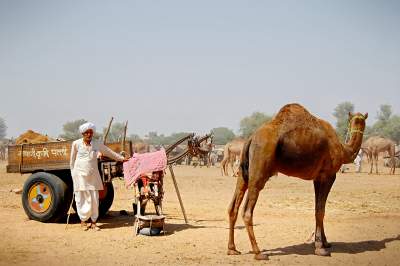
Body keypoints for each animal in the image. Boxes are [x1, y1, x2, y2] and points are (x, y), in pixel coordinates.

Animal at [227, 103, 368, 260]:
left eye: (361, 120)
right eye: (355, 120)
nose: (359, 121)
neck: (343, 150)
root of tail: (251, 138)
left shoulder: (317, 178)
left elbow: (318, 209)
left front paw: (325, 242)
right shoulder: (328, 175)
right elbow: (321, 210)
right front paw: (320, 248)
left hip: (243, 171)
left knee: (233, 206)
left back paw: (232, 249)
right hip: (259, 168)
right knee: (247, 211)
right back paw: (258, 252)